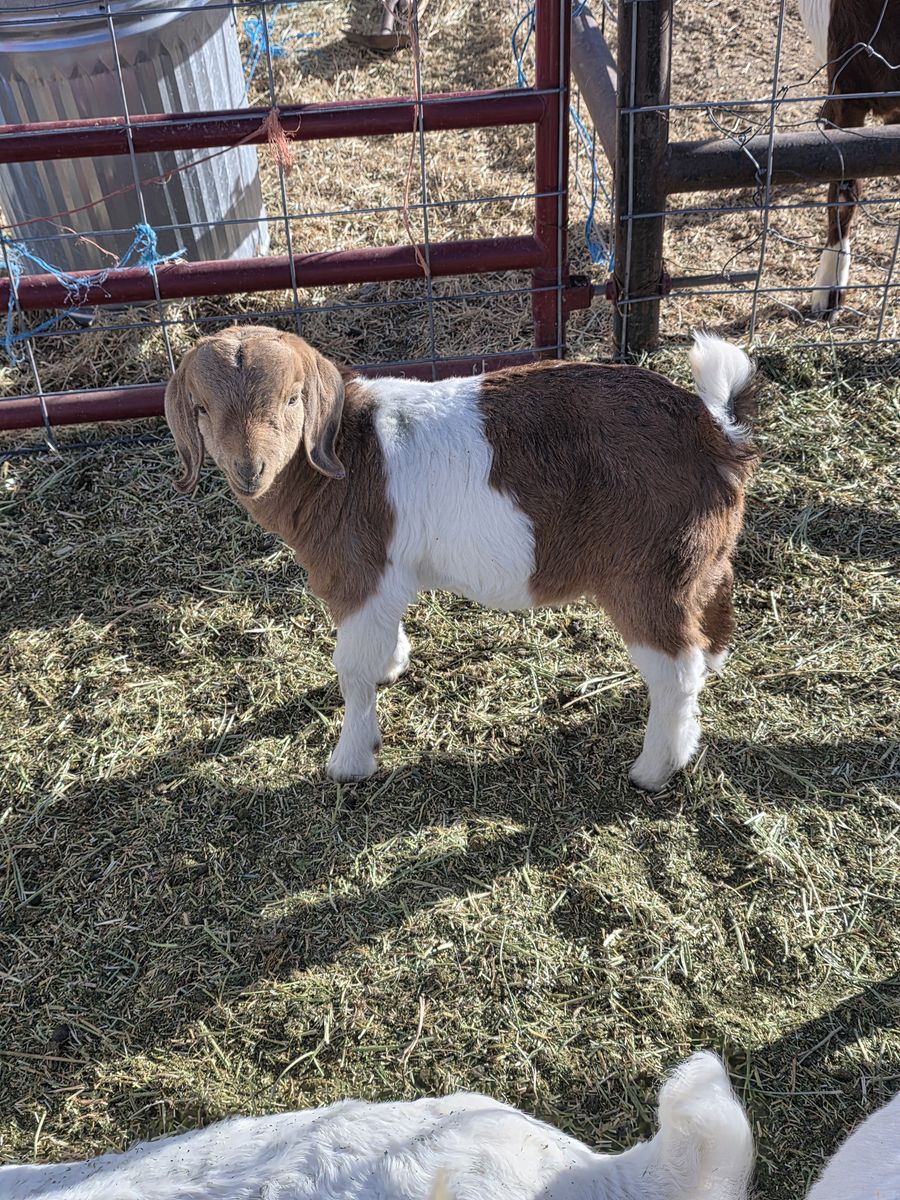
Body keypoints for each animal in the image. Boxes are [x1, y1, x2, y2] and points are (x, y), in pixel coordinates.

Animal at [164, 326, 757, 791]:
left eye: (292, 400)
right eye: (202, 409)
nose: (249, 471)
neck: (344, 456)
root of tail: (715, 432)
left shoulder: (358, 574)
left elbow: (351, 667)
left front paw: (351, 760)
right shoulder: (383, 581)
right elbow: (381, 641)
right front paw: (394, 664)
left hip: (645, 574)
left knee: (674, 671)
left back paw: (654, 768)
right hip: (696, 558)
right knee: (711, 609)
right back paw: (711, 672)